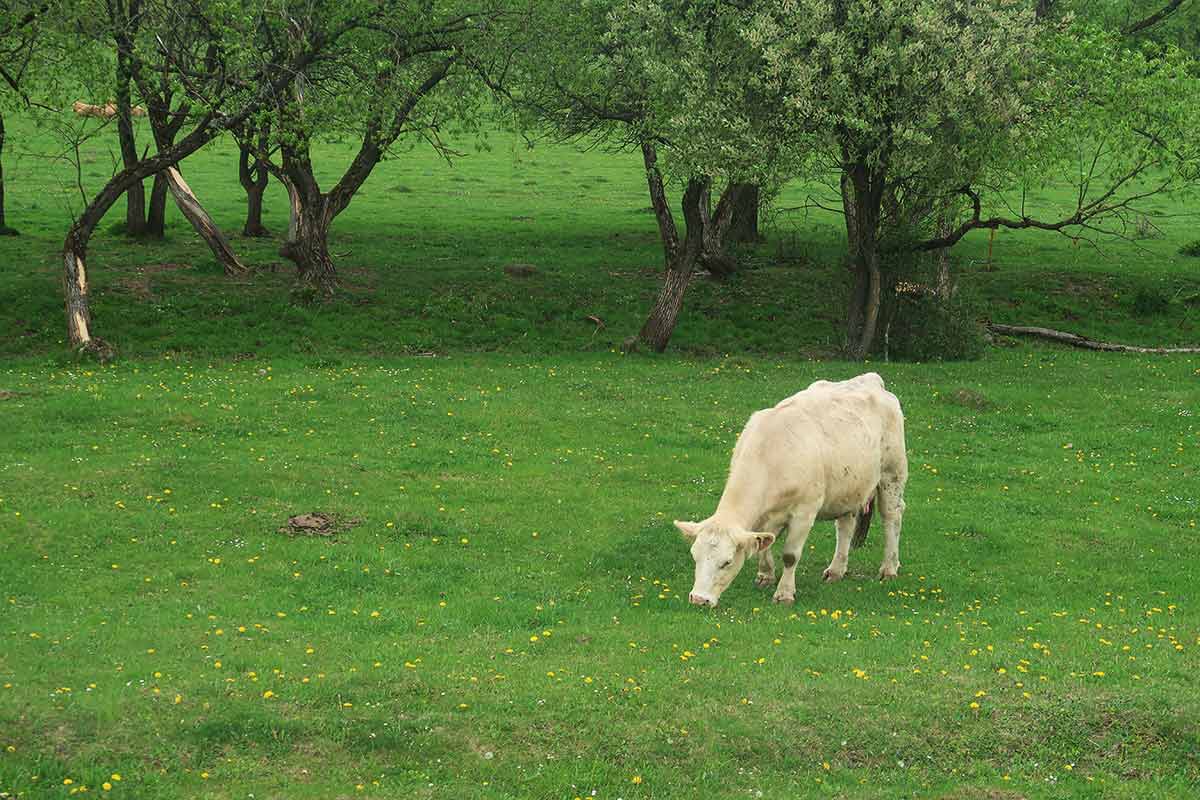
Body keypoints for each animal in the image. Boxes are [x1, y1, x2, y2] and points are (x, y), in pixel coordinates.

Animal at [676, 376, 907, 606]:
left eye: (727, 562)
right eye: (694, 556)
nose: (698, 599)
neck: (770, 455)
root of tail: (871, 379)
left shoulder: (804, 512)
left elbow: (790, 556)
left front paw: (784, 593)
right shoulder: (765, 517)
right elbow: (765, 544)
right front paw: (765, 575)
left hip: (892, 475)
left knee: (892, 517)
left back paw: (889, 568)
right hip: (849, 487)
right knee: (845, 525)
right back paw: (836, 570)